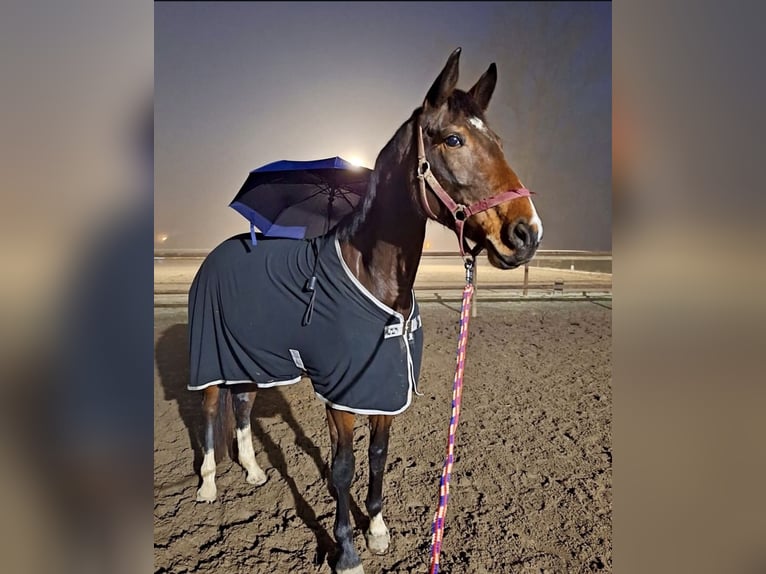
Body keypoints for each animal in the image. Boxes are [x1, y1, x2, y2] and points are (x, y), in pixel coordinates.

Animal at [187, 48, 543, 574]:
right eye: (454, 139)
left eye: (497, 141)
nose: (527, 233)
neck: (377, 282)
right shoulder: (342, 398)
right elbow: (343, 469)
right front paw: (347, 552)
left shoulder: (382, 391)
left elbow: (377, 458)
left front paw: (376, 530)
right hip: (210, 356)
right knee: (212, 408)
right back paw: (210, 485)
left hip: (251, 357)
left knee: (244, 403)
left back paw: (252, 471)